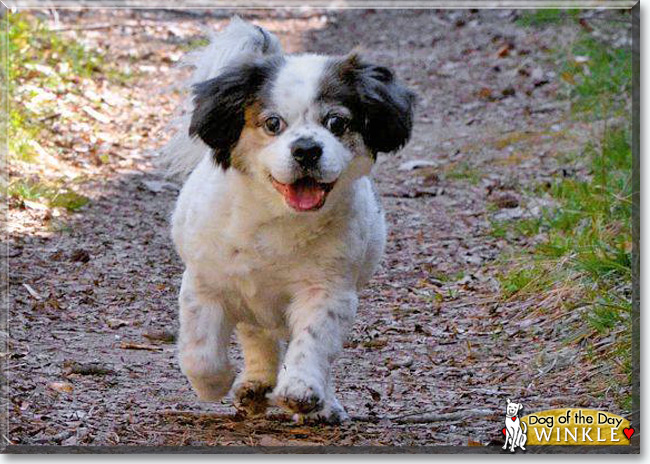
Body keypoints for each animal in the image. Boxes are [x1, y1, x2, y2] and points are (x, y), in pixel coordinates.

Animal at [162, 17, 416, 424]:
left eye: (336, 123)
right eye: (272, 123)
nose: (307, 149)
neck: (277, 219)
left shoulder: (328, 290)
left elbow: (311, 342)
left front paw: (302, 390)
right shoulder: (205, 285)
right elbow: (201, 352)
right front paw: (214, 383)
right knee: (257, 336)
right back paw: (254, 385)